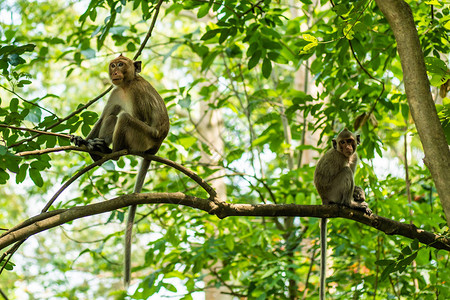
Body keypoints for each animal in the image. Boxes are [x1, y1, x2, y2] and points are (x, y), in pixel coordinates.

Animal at [72, 54, 171, 288]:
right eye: (113, 65)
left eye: (121, 64)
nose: (115, 71)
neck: (126, 85)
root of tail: (157, 145)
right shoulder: (115, 91)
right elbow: (105, 115)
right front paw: (83, 140)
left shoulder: (137, 93)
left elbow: (140, 118)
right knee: (113, 114)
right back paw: (96, 151)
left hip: (144, 138)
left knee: (124, 117)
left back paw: (111, 152)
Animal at [312, 128, 372, 300]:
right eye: (342, 142)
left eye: (350, 141)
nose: (347, 147)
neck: (346, 155)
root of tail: (324, 199)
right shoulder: (339, 158)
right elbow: (346, 171)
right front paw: (355, 199)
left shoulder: (355, 157)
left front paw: (359, 192)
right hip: (334, 191)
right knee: (346, 172)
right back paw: (350, 204)